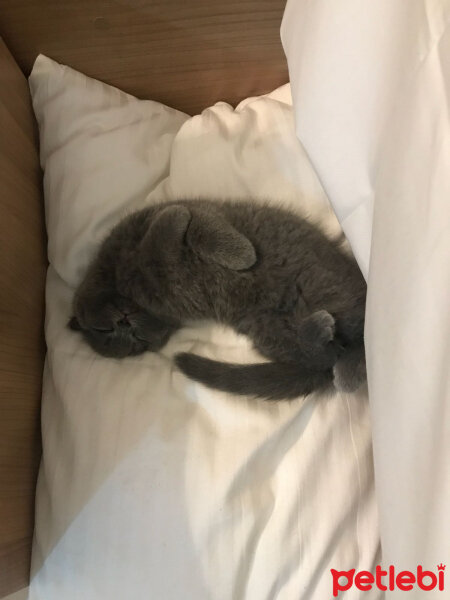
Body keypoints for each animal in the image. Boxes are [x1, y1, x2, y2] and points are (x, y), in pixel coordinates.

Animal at [69, 199, 366, 400]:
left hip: (323, 285)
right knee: (325, 355)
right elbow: (157, 247)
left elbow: (191, 225)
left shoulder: (181, 213)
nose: (124, 323)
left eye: (103, 329)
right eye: (134, 343)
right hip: (267, 331)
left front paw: (241, 253)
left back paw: (346, 371)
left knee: (360, 332)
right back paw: (331, 352)